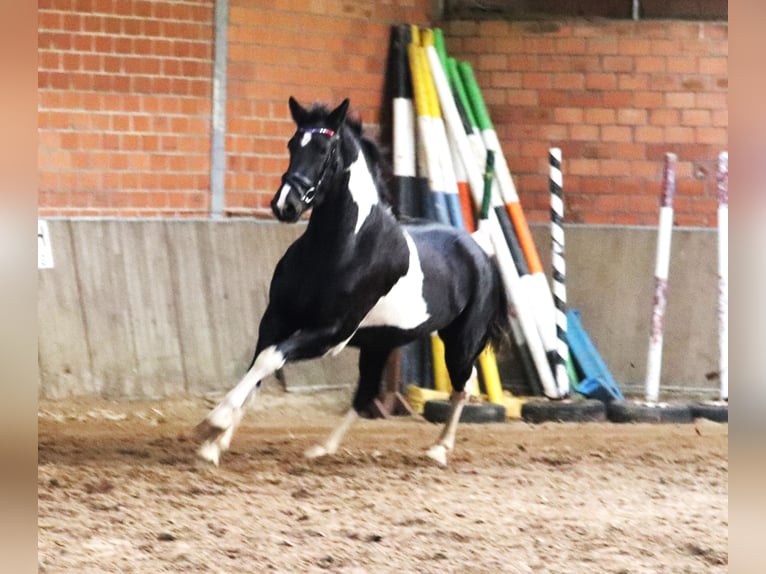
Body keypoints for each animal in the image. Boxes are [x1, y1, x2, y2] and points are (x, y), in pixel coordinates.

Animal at [196, 98, 510, 468]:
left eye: (324, 150)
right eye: (292, 145)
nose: (285, 205)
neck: (342, 247)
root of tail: (478, 249)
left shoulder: (331, 334)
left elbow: (269, 360)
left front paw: (214, 424)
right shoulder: (276, 320)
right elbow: (258, 369)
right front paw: (214, 444)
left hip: (460, 341)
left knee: (463, 384)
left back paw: (439, 449)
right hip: (380, 344)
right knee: (365, 395)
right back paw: (322, 448)